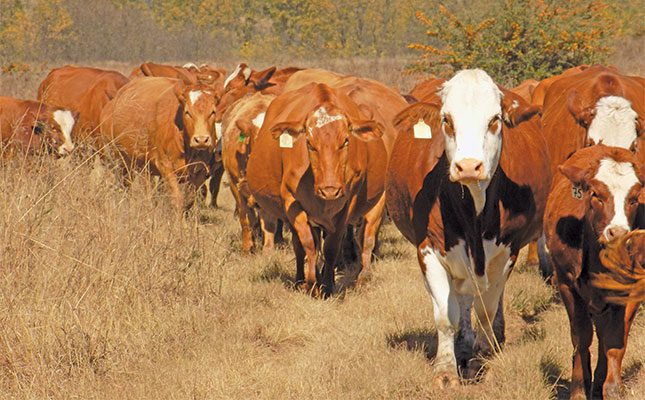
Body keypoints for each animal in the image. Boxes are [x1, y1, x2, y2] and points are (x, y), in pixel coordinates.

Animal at [99, 77, 218, 211]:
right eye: (187, 112)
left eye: (213, 112)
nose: (201, 139)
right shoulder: (165, 166)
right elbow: (177, 199)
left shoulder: (200, 172)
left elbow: (190, 201)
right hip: (117, 160)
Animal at [246, 80, 403, 296]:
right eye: (310, 143)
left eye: (345, 141)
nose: (329, 190)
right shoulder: (292, 203)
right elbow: (308, 244)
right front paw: (312, 282)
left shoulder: (348, 204)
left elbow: (331, 247)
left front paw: (327, 285)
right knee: (299, 245)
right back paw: (300, 279)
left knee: (366, 238)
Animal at [385, 69, 547, 387]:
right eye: (446, 120)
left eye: (495, 119)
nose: (469, 166)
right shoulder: (429, 249)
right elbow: (446, 315)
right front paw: (446, 370)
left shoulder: (507, 252)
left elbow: (487, 310)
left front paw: (479, 360)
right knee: (461, 299)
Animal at [544, 145, 643, 399]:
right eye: (597, 195)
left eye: (634, 198)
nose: (617, 233)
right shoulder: (566, 284)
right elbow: (581, 336)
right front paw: (579, 388)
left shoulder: (630, 291)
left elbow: (615, 340)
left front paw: (612, 388)